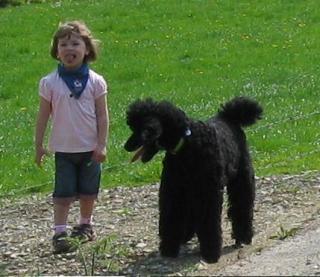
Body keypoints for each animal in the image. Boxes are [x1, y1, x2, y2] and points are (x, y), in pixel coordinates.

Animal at [124, 96, 262, 262]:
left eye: (140, 128)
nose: (126, 146)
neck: (187, 145)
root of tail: (228, 116)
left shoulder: (209, 194)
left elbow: (209, 223)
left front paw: (210, 253)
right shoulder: (172, 192)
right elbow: (170, 219)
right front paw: (169, 250)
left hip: (241, 180)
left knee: (242, 207)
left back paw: (243, 236)